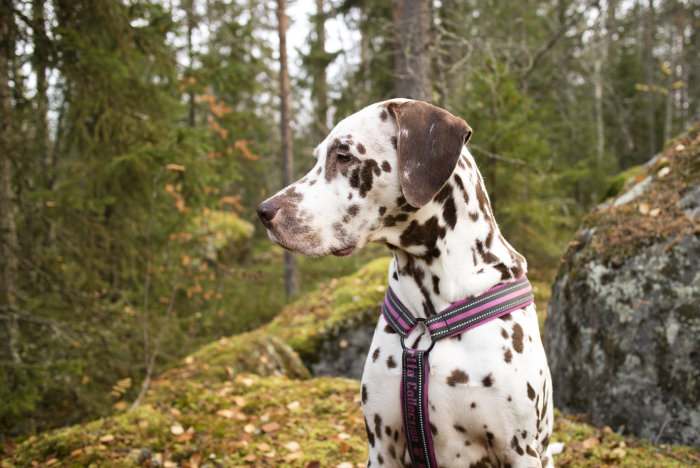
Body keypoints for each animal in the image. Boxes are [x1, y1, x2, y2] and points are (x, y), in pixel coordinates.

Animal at [258, 99, 552, 468]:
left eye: (344, 155)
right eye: (318, 156)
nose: (263, 211)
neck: (430, 317)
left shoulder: (519, 448)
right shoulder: (382, 445)